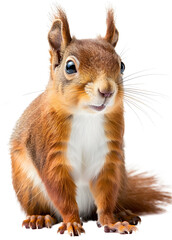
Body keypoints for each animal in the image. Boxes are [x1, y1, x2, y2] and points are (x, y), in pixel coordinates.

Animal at [10, 7, 171, 236]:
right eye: (70, 66)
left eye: (122, 65)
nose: (107, 91)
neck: (87, 116)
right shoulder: (50, 152)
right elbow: (61, 192)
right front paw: (71, 222)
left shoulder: (108, 155)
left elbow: (105, 193)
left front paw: (111, 222)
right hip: (27, 187)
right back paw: (38, 216)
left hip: (121, 177)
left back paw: (122, 213)